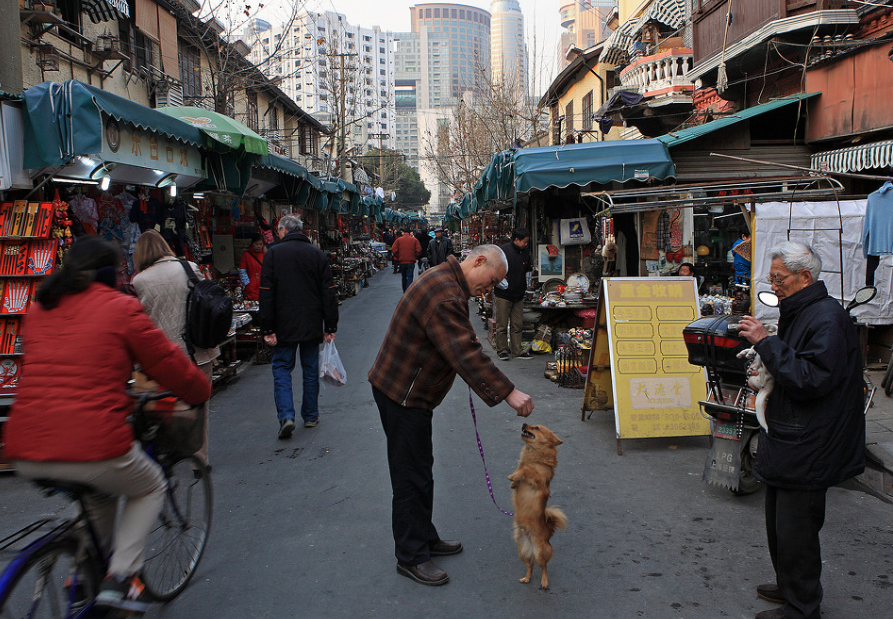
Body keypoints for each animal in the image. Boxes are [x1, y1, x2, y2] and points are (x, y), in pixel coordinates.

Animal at [506, 422, 568, 592]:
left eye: (536, 428)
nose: (524, 423)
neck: (534, 456)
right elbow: (521, 470)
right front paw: (513, 482)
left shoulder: (538, 480)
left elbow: (526, 471)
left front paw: (514, 476)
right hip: (522, 550)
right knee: (530, 565)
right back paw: (526, 578)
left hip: (540, 552)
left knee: (543, 566)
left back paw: (544, 582)